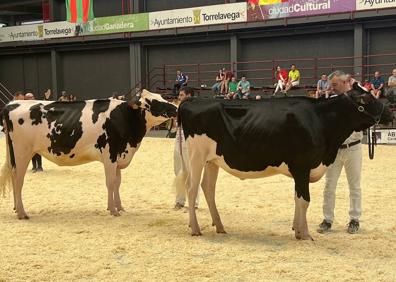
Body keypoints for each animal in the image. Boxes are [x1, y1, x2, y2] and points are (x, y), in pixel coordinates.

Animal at [0, 89, 176, 219]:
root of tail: (11, 104)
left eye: (161, 96)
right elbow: (110, 183)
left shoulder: (118, 157)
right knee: (18, 181)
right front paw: (113, 210)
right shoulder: (110, 155)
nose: (175, 108)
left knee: (14, 178)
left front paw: (119, 206)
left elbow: (117, 183)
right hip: (22, 153)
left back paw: (16, 208)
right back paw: (22, 213)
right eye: (151, 102)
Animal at [179, 82, 392, 240]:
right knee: (191, 188)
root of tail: (191, 100)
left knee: (208, 188)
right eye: (366, 99)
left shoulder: (300, 170)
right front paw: (305, 234)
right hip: (196, 155)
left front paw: (297, 229)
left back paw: (220, 226)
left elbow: (298, 199)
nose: (390, 111)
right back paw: (196, 229)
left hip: (212, 160)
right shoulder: (302, 166)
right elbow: (304, 200)